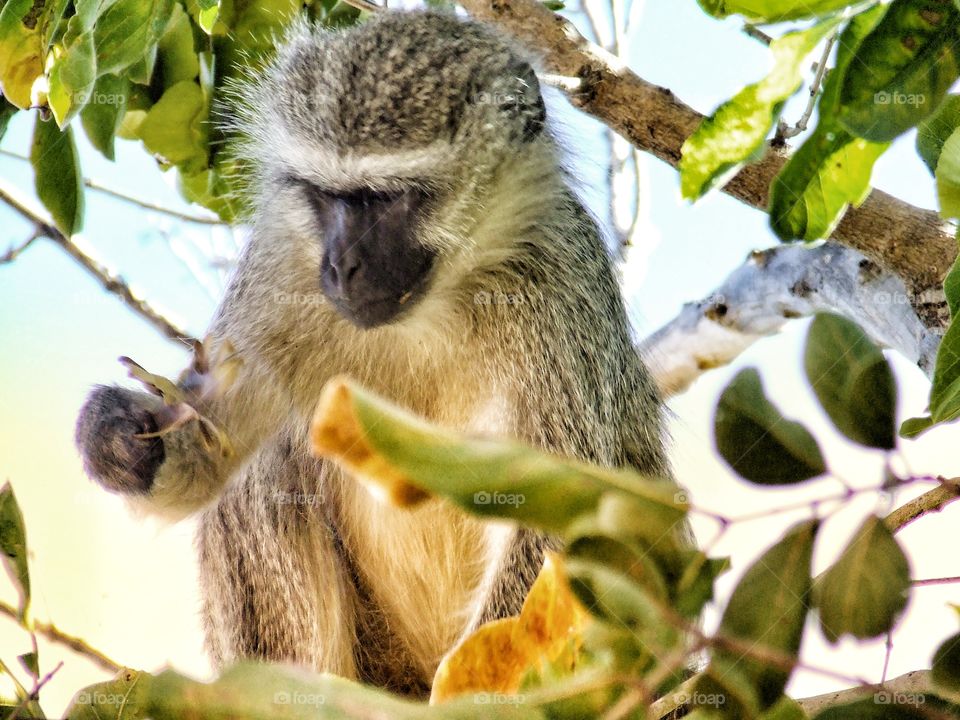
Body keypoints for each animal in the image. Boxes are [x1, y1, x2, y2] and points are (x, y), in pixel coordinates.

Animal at [73, 10, 670, 696]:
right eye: (326, 196)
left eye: (387, 198)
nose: (342, 266)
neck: (437, 303)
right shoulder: (279, 268)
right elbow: (215, 448)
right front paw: (119, 435)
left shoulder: (557, 288)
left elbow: (559, 510)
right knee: (268, 463)